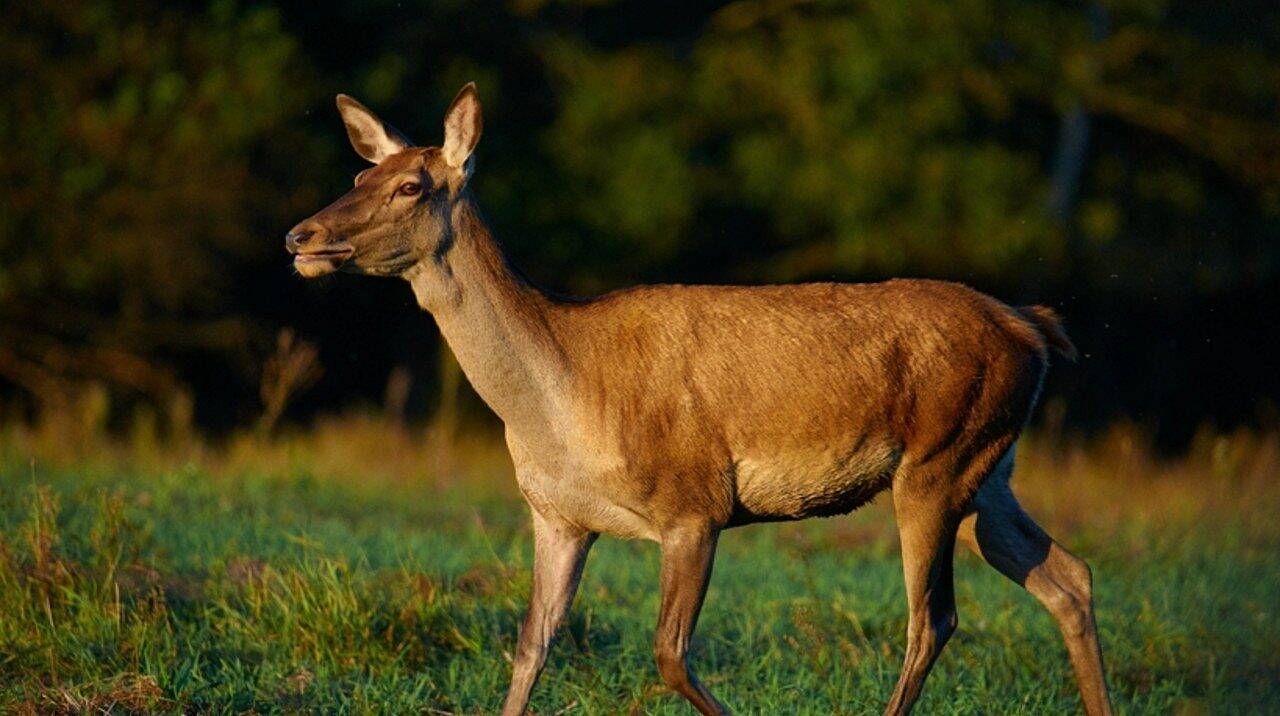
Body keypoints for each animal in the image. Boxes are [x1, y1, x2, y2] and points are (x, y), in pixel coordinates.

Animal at [285, 83, 1112, 716]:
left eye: (409, 186)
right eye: (357, 179)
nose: (302, 237)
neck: (559, 401)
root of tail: (1033, 327)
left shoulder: (694, 503)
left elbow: (669, 655)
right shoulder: (558, 516)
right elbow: (530, 644)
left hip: (939, 462)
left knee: (932, 619)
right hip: (989, 471)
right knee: (1067, 578)